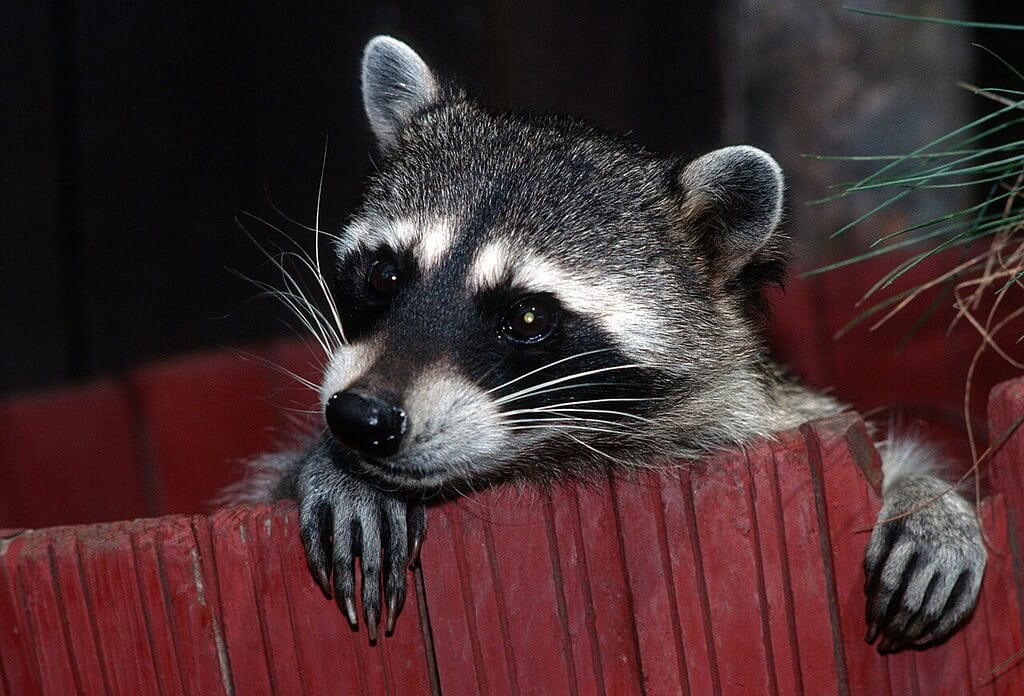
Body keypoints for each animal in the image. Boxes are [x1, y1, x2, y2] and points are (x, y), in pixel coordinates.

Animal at [234, 36, 986, 653]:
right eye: (385, 273)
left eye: (527, 317)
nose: (361, 418)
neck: (548, 458)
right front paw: (330, 467)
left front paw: (924, 496)